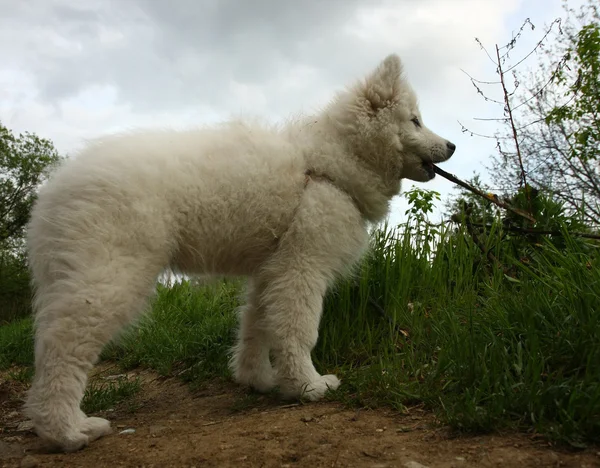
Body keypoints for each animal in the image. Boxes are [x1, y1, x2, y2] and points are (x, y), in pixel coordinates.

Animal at [22, 53, 454, 452]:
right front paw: (309, 386)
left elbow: (256, 326)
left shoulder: (271, 271)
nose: (451, 145)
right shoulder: (303, 266)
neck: (331, 165)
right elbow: (299, 329)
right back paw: (67, 431)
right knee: (62, 351)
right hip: (110, 278)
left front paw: (259, 380)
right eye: (415, 121)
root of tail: (54, 191)